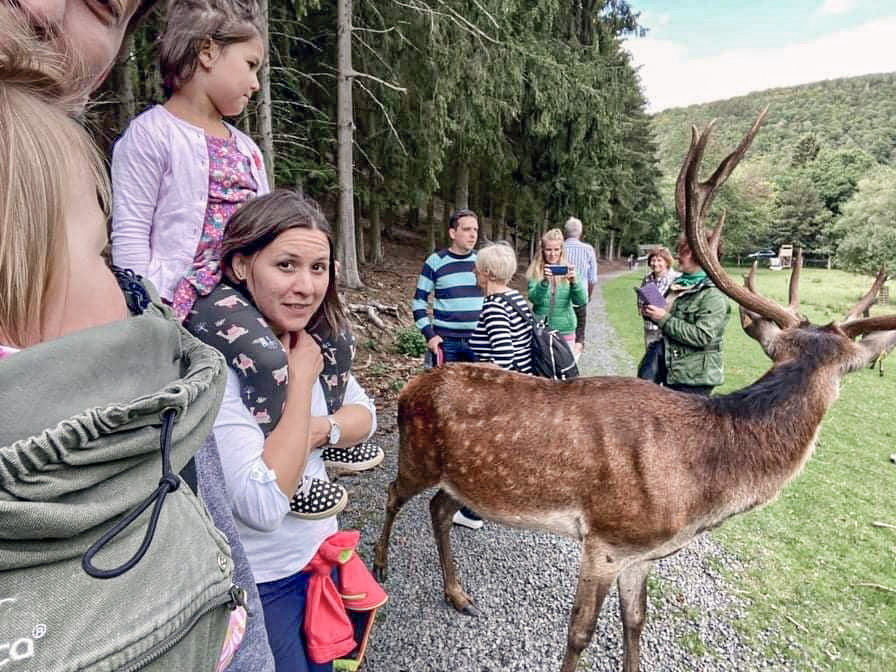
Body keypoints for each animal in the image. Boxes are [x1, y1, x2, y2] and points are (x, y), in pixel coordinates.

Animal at [372, 107, 896, 672]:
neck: (697, 492)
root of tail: (412, 384)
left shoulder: (641, 553)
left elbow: (635, 620)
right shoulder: (605, 539)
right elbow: (580, 632)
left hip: (459, 477)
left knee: (439, 509)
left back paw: (457, 593)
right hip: (417, 454)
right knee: (395, 494)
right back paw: (379, 569)